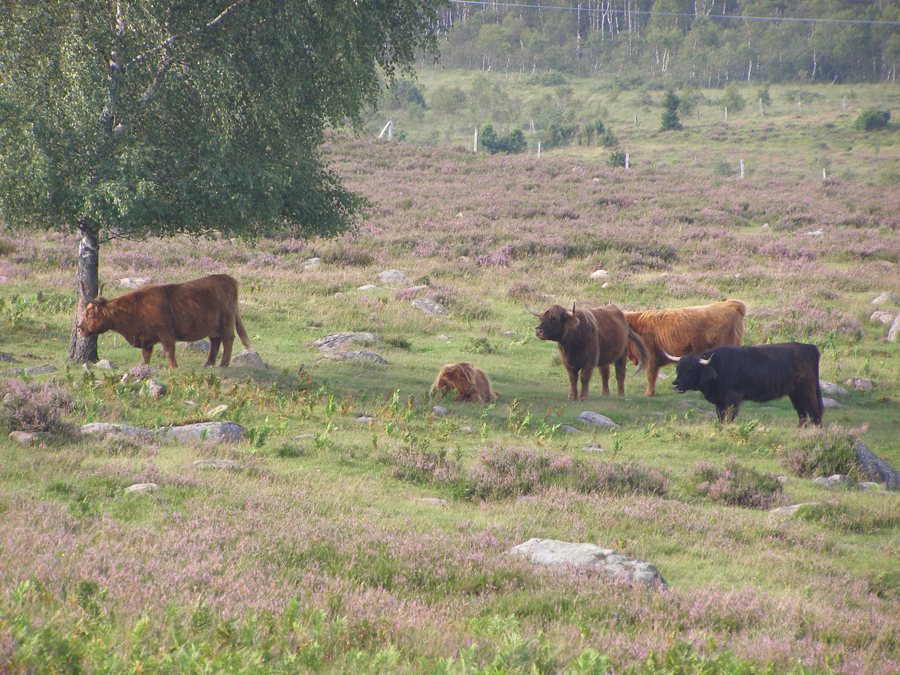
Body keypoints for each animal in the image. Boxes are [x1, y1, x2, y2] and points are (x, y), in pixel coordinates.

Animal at [76, 274, 251, 368]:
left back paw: (223, 364)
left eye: (90, 313)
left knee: (228, 339)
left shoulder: (166, 334)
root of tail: (228, 279)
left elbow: (169, 352)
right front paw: (144, 370)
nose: (79, 328)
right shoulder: (146, 340)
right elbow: (145, 357)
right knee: (215, 341)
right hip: (213, 326)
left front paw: (173, 367)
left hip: (226, 321)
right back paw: (208, 364)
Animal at [668, 342, 823, 426]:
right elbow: (721, 417)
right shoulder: (720, 402)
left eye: (689, 370)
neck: (717, 367)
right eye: (677, 369)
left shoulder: (733, 399)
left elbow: (730, 417)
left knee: (814, 412)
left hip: (807, 390)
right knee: (802, 413)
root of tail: (808, 347)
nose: (675, 385)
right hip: (795, 393)